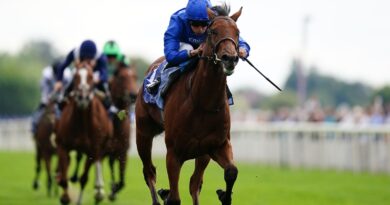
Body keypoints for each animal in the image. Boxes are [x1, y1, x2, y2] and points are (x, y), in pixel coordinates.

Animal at [55, 62, 112, 205]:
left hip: (101, 147)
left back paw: (98, 190)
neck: (81, 123)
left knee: (96, 165)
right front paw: (64, 196)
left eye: (91, 77)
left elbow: (84, 178)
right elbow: (64, 177)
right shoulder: (62, 146)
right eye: (75, 76)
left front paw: (97, 192)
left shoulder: (93, 149)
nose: (83, 97)